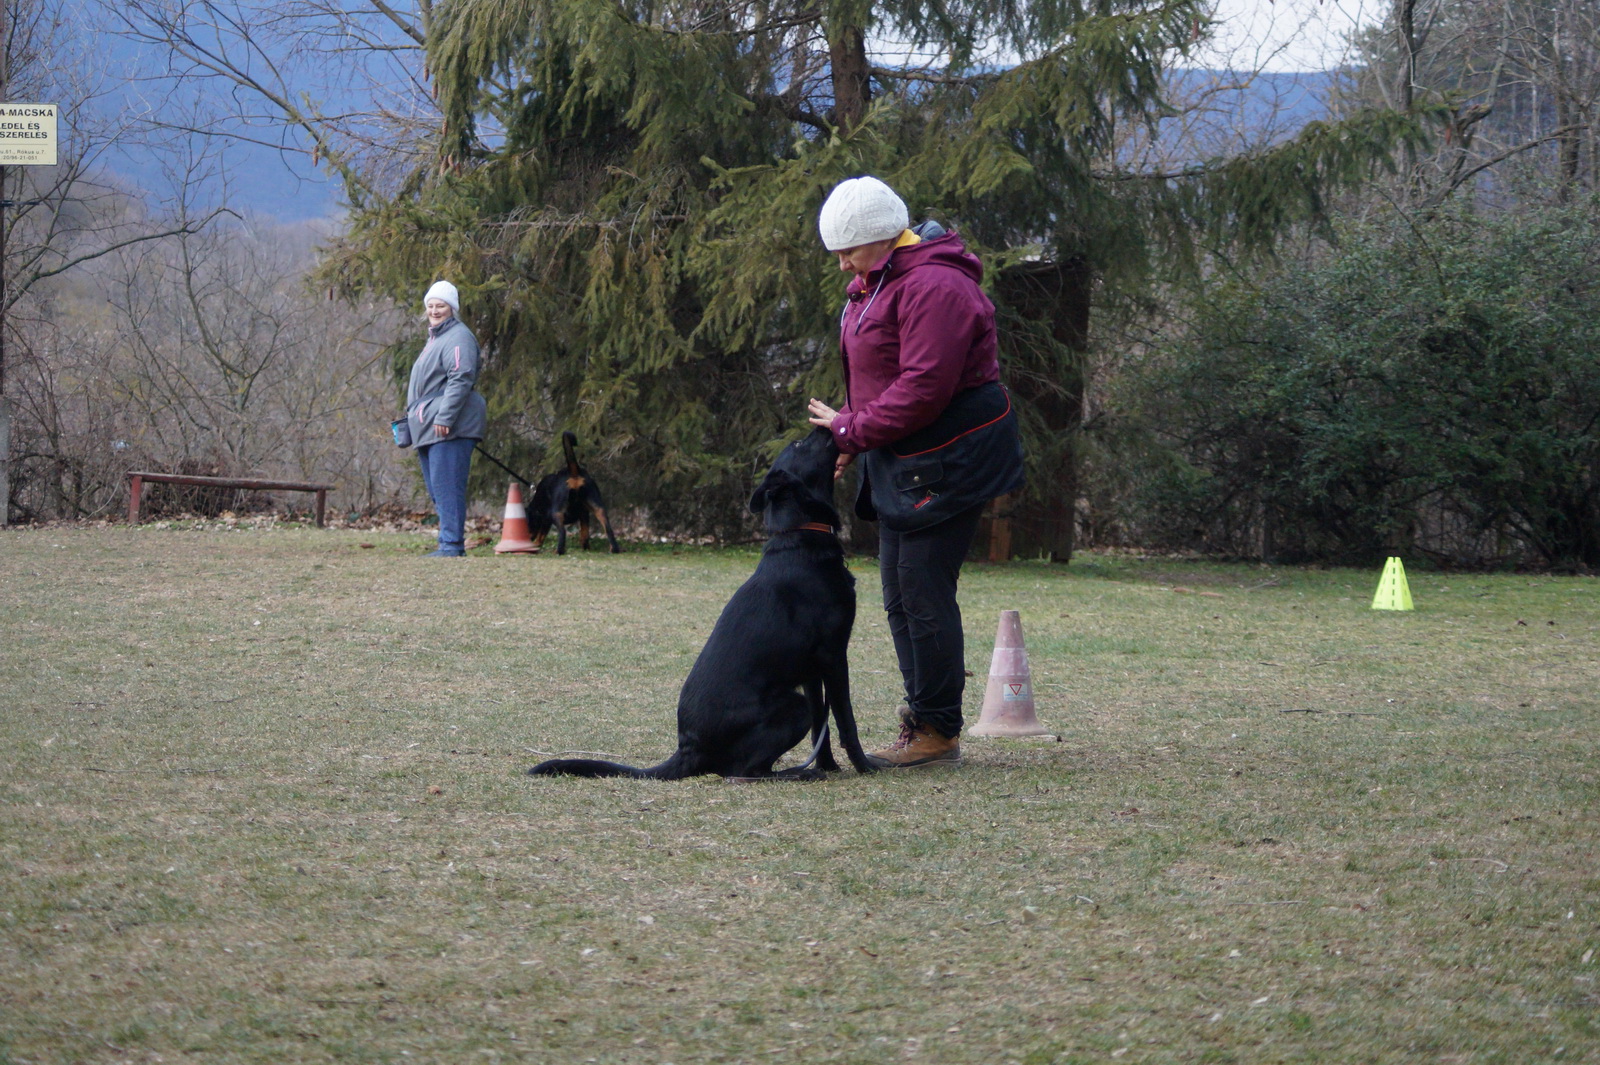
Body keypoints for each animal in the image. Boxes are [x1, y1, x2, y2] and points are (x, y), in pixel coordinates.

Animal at [528, 428, 620, 556]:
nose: (528, 538)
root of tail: (574, 473)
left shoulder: (546, 517)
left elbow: (542, 534)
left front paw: (536, 544)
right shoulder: (584, 514)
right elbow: (585, 533)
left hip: (556, 513)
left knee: (563, 532)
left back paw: (558, 551)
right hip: (599, 509)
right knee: (608, 529)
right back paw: (612, 548)